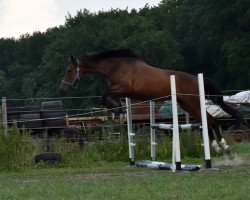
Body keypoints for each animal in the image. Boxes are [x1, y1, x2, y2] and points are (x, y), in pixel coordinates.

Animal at [59, 48, 248, 155]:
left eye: (69, 70)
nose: (62, 89)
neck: (117, 66)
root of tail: (197, 80)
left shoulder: (123, 88)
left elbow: (104, 95)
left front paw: (118, 110)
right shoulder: (123, 91)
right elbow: (106, 96)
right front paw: (118, 111)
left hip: (192, 103)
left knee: (211, 121)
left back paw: (222, 146)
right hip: (187, 105)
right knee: (208, 121)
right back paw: (219, 148)